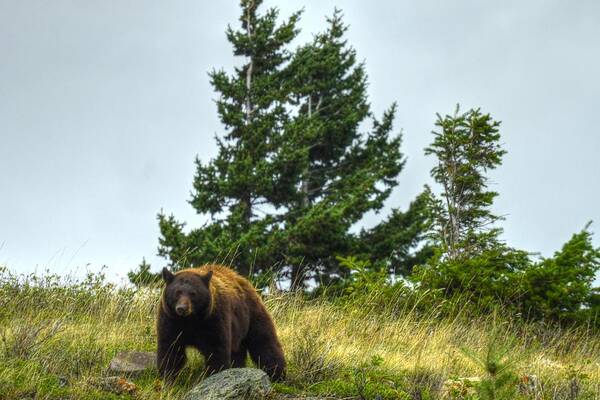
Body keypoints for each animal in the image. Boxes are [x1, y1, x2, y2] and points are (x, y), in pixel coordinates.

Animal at [157, 264, 288, 382]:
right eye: (177, 292)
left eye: (193, 293)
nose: (182, 308)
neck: (191, 320)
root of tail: (243, 280)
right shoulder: (170, 320)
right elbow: (170, 349)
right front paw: (168, 378)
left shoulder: (214, 319)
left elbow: (216, 349)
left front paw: (214, 374)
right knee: (238, 352)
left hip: (252, 315)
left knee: (264, 343)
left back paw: (277, 374)